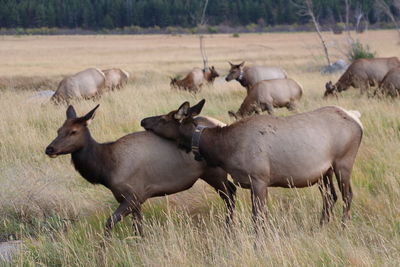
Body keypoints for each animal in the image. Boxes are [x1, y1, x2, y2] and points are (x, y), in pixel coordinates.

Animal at [45, 104, 236, 237]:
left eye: (73, 131)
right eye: (58, 130)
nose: (49, 148)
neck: (106, 168)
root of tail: (224, 123)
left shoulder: (133, 195)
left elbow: (109, 224)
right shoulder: (134, 200)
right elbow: (138, 229)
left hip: (215, 173)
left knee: (230, 195)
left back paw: (229, 227)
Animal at [142, 100, 364, 232]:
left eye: (164, 118)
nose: (144, 120)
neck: (224, 150)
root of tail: (357, 119)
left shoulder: (259, 179)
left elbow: (258, 217)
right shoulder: (251, 183)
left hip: (343, 162)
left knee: (347, 195)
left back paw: (342, 227)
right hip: (324, 172)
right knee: (330, 196)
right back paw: (320, 227)